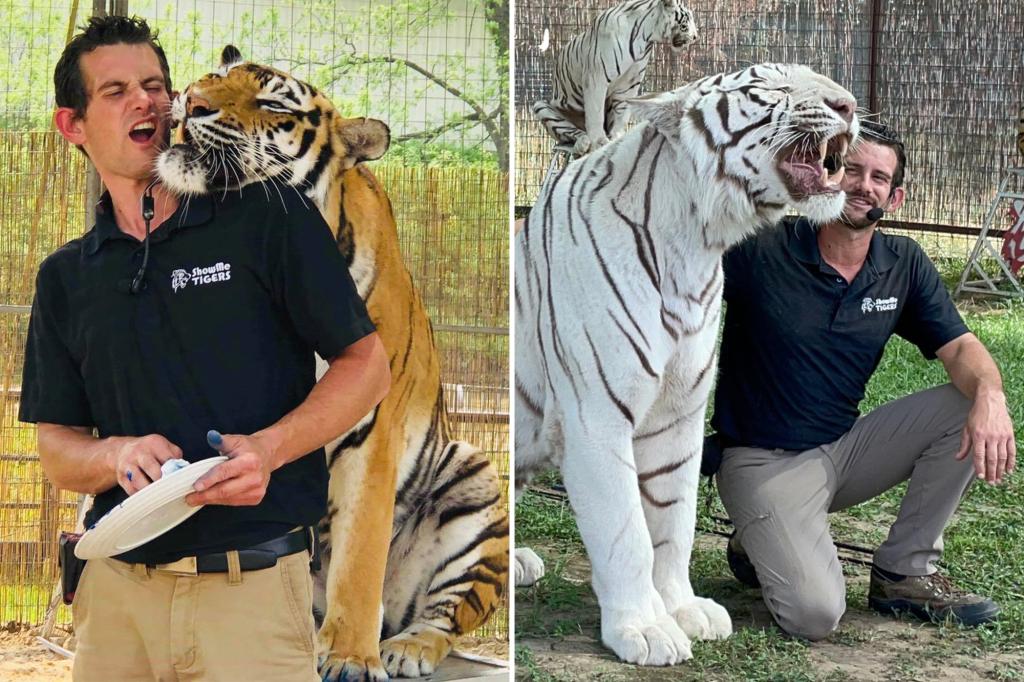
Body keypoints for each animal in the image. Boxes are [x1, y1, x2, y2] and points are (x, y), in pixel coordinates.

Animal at [157, 46, 508, 681]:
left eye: (273, 104)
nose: (190, 101)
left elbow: (358, 556)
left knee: (446, 616)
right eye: (217, 76)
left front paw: (347, 656)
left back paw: (404, 647)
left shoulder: (371, 433)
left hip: (474, 477)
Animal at [515, 63, 858, 665]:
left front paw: (682, 609)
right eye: (772, 88)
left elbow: (674, 522)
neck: (695, 243)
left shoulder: (678, 416)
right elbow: (626, 530)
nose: (850, 106)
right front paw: (643, 630)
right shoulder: (595, 416)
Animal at [532, 0, 698, 157]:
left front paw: (617, 138)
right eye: (686, 21)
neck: (646, 37)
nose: (696, 37)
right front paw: (599, 141)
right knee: (572, 134)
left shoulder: (629, 84)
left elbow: (621, 113)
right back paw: (583, 143)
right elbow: (595, 114)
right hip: (540, 106)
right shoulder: (596, 77)